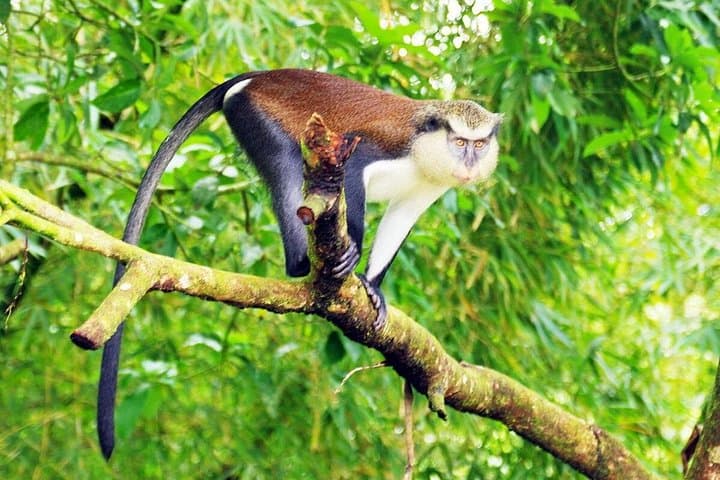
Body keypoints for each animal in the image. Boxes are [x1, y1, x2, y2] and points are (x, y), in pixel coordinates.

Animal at [98, 69, 501, 459]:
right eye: (460, 142)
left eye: (479, 144)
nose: (470, 163)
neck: (425, 150)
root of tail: (263, 75)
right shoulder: (384, 147)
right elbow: (353, 172)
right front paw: (351, 260)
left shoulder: (427, 188)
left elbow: (402, 217)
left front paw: (372, 287)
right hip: (254, 114)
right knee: (287, 167)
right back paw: (301, 262)